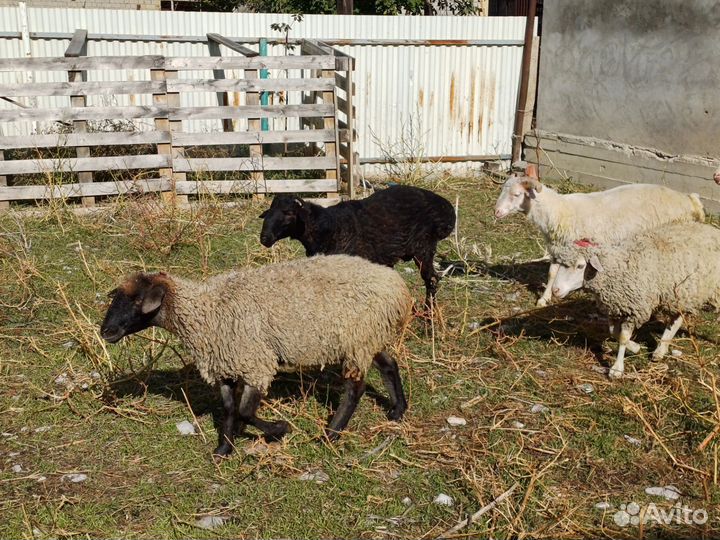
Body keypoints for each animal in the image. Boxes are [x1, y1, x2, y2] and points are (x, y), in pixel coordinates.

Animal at [100, 255, 412, 459]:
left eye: (138, 300)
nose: (106, 331)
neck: (206, 313)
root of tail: (396, 284)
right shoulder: (225, 365)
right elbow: (229, 409)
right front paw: (223, 449)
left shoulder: (255, 363)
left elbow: (245, 412)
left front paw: (279, 429)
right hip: (367, 337)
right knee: (388, 365)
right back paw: (397, 410)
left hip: (358, 336)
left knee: (354, 388)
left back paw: (332, 433)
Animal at [258, 185, 456, 307]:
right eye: (268, 213)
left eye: (289, 213)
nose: (264, 238)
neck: (329, 227)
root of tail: (446, 208)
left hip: (423, 247)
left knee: (431, 279)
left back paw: (429, 318)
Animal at [494, 164, 705, 307]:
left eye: (516, 194)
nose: (496, 212)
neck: (559, 211)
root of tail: (689, 200)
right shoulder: (558, 249)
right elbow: (552, 273)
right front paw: (544, 298)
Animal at [549, 222, 720, 379]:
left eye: (580, 266)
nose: (555, 290)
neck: (618, 269)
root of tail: (710, 228)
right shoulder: (616, 308)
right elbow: (614, 332)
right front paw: (636, 347)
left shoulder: (634, 310)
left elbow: (623, 337)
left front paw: (617, 369)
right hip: (678, 294)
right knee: (675, 320)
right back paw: (660, 350)